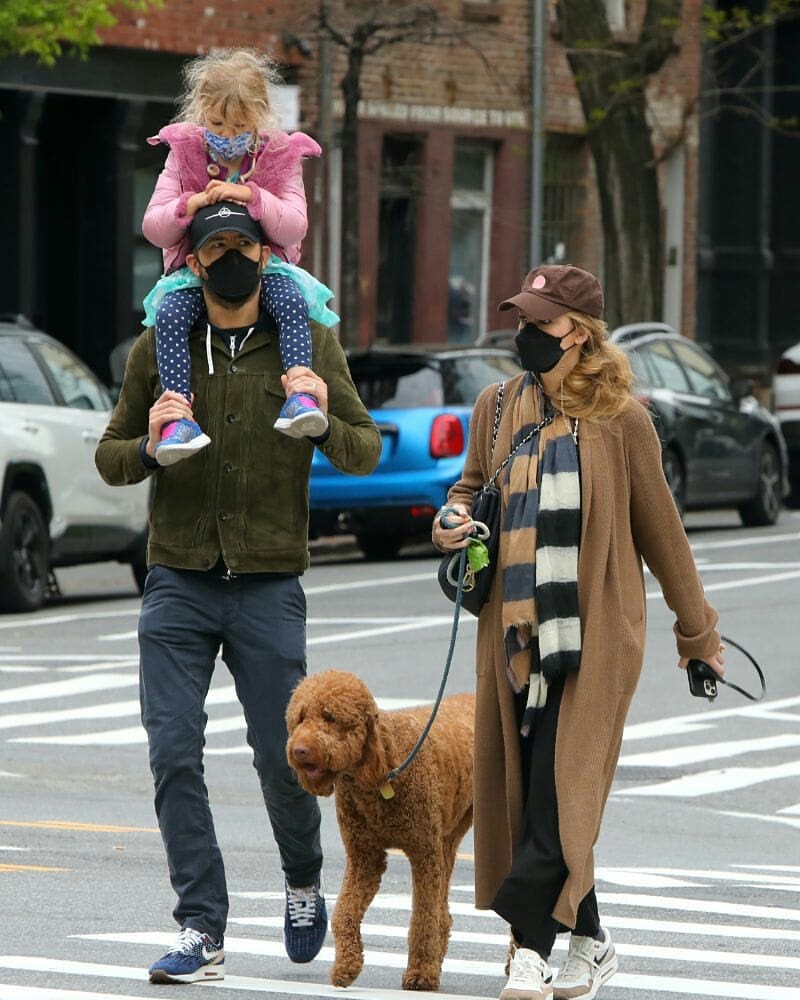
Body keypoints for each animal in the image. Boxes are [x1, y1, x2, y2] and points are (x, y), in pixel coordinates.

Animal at [286, 668, 476, 988]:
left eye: (329, 717)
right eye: (300, 718)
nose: (298, 750)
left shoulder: (424, 854)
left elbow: (423, 918)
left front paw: (420, 974)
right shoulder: (365, 857)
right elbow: (344, 913)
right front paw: (347, 965)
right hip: (448, 837)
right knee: (444, 911)